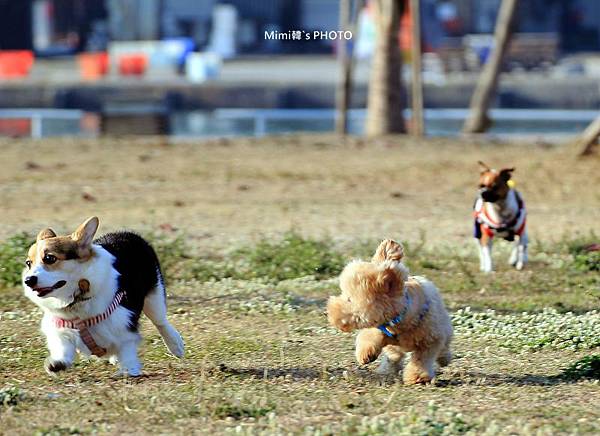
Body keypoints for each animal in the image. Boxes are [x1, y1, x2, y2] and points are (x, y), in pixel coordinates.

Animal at [22, 216, 184, 376]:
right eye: (29, 263)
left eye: (50, 258)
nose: (28, 281)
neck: (78, 297)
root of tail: (128, 234)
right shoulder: (60, 327)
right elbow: (63, 347)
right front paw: (57, 364)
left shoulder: (124, 323)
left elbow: (127, 349)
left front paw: (129, 369)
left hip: (154, 298)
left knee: (161, 322)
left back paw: (175, 345)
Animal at [326, 238, 452, 384]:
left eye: (349, 299)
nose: (327, 313)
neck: (400, 321)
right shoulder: (378, 327)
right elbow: (368, 337)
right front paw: (366, 354)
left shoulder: (430, 341)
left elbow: (421, 359)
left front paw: (417, 376)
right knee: (394, 355)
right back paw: (387, 368)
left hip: (444, 328)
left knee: (444, 346)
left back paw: (444, 358)